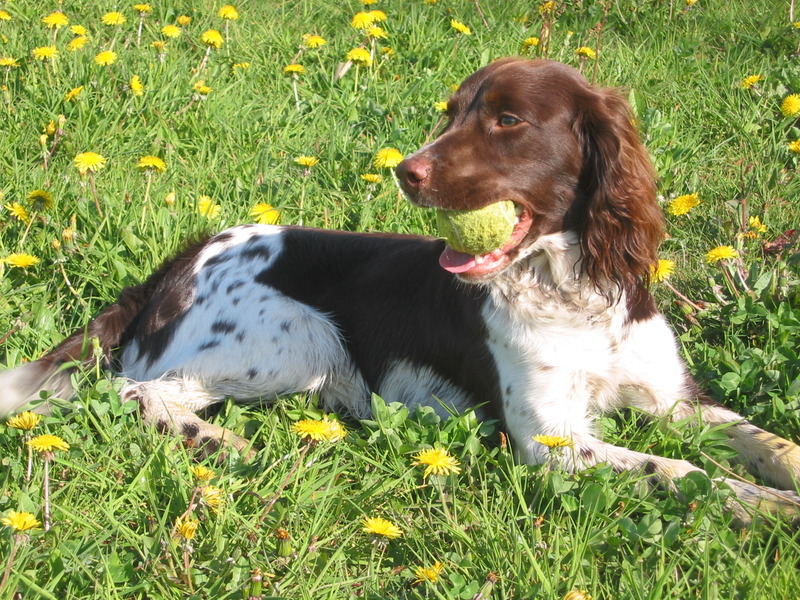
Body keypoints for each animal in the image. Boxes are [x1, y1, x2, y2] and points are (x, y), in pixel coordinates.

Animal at [1, 59, 800, 520]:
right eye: (452, 111)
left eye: (508, 119)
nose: (405, 171)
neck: (571, 294)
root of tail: (174, 264)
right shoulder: (551, 439)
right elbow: (681, 470)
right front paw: (765, 508)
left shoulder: (671, 398)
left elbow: (755, 436)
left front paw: (779, 477)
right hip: (301, 339)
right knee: (138, 391)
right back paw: (222, 441)